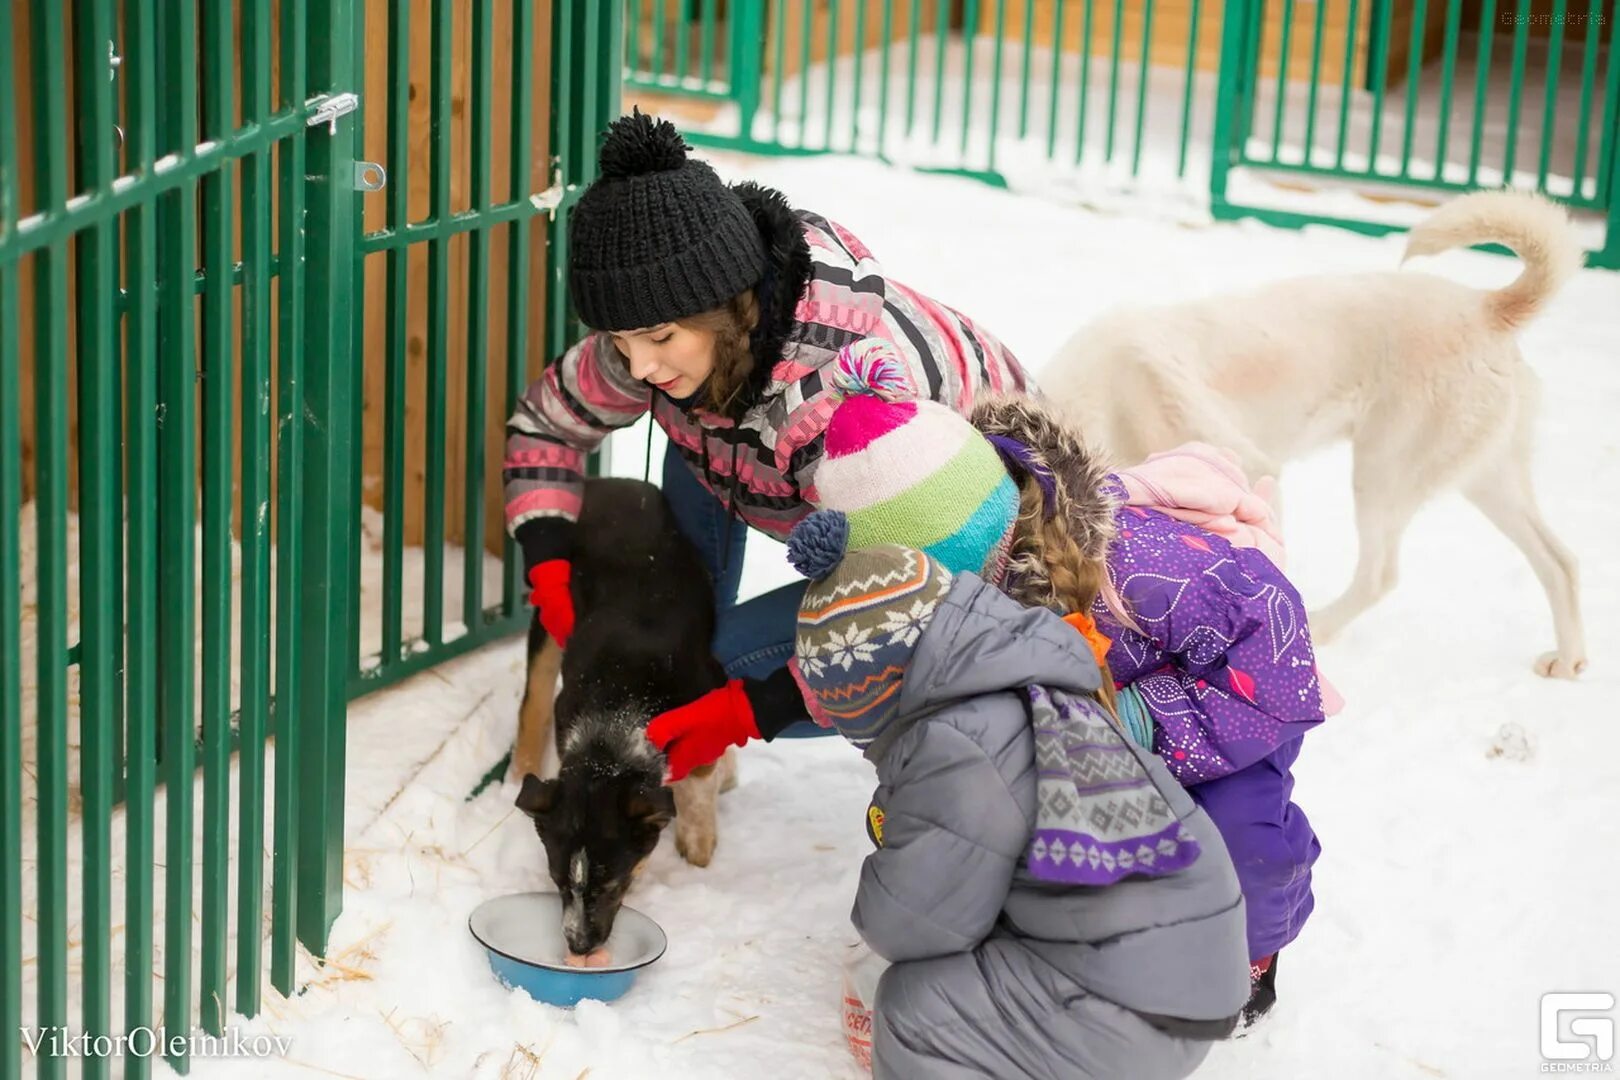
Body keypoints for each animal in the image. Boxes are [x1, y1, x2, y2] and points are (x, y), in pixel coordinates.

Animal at [515, 479, 738, 952]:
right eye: (557, 882)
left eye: (614, 885)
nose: (578, 946)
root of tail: (604, 482)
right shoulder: (567, 709)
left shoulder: (710, 689)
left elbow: (700, 772)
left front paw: (698, 846)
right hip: (549, 613)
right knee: (534, 699)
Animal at [1043, 187, 1587, 676]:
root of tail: (1488, 306)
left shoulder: (1249, 469)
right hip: (1486, 479)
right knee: (1560, 562)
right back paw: (1568, 661)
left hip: (1381, 473)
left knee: (1380, 575)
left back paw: (1322, 628)